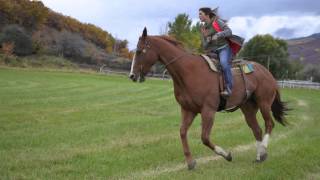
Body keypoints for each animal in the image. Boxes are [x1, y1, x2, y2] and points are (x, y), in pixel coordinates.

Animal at [129, 27, 288, 169]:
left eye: (140, 51)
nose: (132, 75)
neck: (189, 71)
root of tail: (267, 73)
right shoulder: (188, 110)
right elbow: (182, 132)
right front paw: (191, 163)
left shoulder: (208, 111)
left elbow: (204, 138)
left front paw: (227, 155)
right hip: (248, 108)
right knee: (257, 130)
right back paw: (259, 156)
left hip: (264, 103)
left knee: (269, 124)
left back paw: (263, 150)